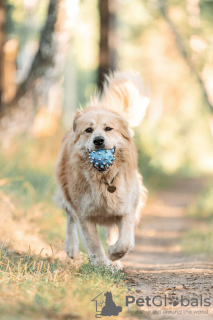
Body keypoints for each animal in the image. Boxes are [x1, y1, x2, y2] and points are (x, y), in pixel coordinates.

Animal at [55, 71, 150, 268]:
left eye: (108, 128)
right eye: (88, 130)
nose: (98, 140)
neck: (105, 178)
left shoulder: (128, 205)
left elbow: (125, 240)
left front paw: (114, 255)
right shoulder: (84, 213)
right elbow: (93, 243)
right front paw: (101, 265)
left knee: (112, 231)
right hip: (65, 193)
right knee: (70, 217)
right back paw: (72, 248)